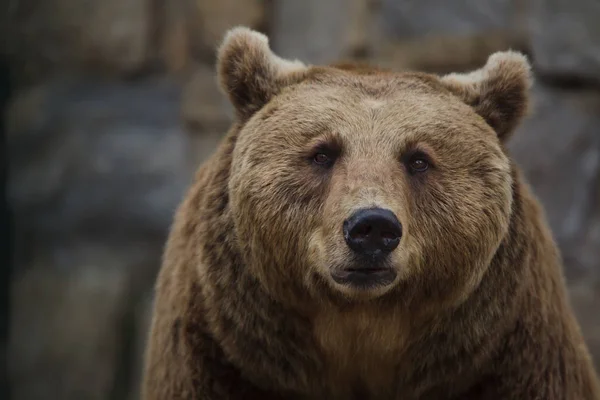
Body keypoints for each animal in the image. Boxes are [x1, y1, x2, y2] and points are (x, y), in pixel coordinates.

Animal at [139, 26, 600, 398]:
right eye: (322, 152)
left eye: (418, 159)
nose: (373, 227)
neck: (362, 330)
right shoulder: (218, 356)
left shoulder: (513, 357)